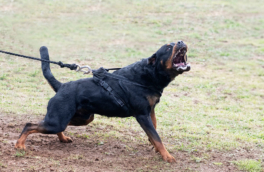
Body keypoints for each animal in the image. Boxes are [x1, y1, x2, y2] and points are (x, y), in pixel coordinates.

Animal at [14, 41, 190, 163]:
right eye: (168, 48)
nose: (181, 41)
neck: (148, 75)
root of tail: (62, 86)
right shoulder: (142, 115)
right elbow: (157, 137)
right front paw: (167, 157)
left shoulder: (150, 110)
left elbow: (154, 132)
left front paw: (156, 149)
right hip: (59, 120)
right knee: (29, 125)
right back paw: (19, 145)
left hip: (82, 118)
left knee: (55, 126)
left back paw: (63, 138)